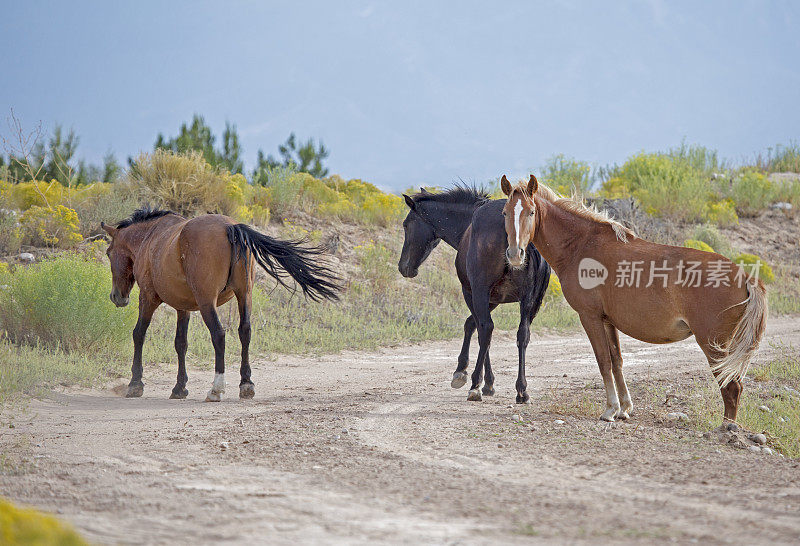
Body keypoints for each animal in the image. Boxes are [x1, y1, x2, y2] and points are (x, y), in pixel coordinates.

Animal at [102, 207, 338, 400]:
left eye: (108, 253)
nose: (117, 297)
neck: (151, 237)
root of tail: (230, 227)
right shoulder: (183, 307)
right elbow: (181, 343)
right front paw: (179, 388)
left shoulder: (148, 298)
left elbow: (139, 334)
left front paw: (135, 384)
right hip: (244, 295)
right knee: (245, 331)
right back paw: (246, 384)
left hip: (207, 301)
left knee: (219, 334)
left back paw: (216, 389)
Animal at [398, 185, 552, 402]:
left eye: (406, 225)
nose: (403, 267)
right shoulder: (494, 299)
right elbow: (473, 325)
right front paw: (487, 382)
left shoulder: (473, 292)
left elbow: (476, 328)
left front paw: (466, 374)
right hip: (529, 300)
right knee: (523, 334)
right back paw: (522, 390)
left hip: (481, 291)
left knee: (487, 328)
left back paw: (474, 386)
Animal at [500, 174, 768, 420]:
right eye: (504, 213)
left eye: (531, 212)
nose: (515, 254)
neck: (581, 245)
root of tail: (745, 276)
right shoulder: (608, 321)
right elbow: (616, 361)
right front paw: (624, 408)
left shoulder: (590, 317)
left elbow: (603, 361)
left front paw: (610, 409)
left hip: (714, 344)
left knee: (731, 386)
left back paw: (727, 429)